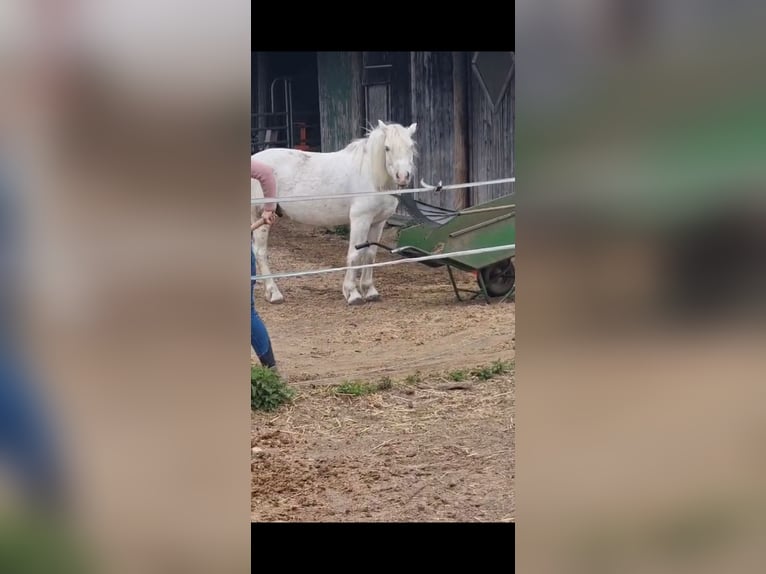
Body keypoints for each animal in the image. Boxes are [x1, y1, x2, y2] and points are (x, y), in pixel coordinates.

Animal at [251, 120, 418, 306]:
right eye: (387, 148)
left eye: (411, 146)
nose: (402, 176)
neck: (372, 176)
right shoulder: (360, 220)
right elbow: (355, 254)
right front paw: (352, 293)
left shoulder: (377, 222)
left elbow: (370, 254)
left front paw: (370, 291)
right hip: (262, 218)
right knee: (260, 252)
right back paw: (274, 293)